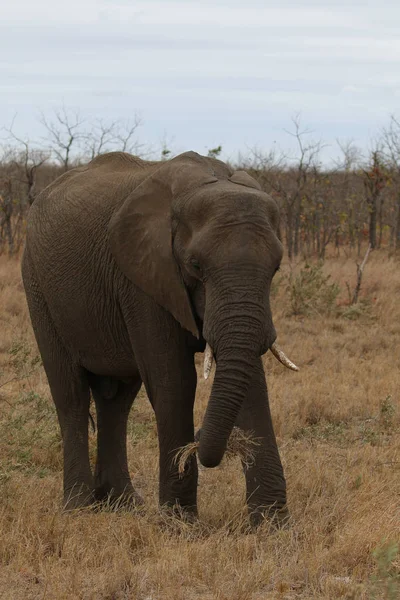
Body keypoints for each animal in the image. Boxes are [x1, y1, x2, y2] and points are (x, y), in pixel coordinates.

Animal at [21, 150, 296, 524]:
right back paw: (78, 508)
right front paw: (180, 524)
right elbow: (174, 382)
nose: (198, 441)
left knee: (117, 400)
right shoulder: (144, 278)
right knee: (71, 394)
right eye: (195, 265)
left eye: (276, 268)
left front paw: (271, 525)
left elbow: (252, 382)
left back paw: (121, 504)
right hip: (37, 284)